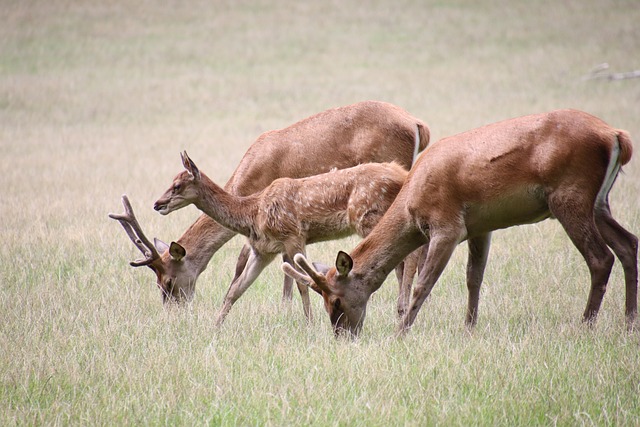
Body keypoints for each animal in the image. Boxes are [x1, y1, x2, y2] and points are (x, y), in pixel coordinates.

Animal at [109, 102, 430, 306]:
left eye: (168, 281)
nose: (173, 309)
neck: (246, 184)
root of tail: (419, 125)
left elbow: (247, 260)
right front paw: (285, 306)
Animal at [152, 150, 424, 324]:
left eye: (177, 186)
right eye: (171, 181)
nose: (157, 204)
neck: (252, 214)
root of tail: (402, 175)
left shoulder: (293, 235)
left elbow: (302, 284)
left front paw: (311, 324)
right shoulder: (263, 250)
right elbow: (236, 289)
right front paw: (216, 326)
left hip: (370, 215)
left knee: (409, 257)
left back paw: (402, 310)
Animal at [286, 109, 640, 338]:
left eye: (335, 299)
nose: (341, 335)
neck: (411, 206)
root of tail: (616, 136)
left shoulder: (447, 224)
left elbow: (423, 282)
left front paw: (400, 334)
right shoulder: (480, 226)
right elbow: (474, 277)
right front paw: (469, 328)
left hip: (571, 195)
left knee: (601, 257)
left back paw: (586, 326)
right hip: (598, 202)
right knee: (628, 244)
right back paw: (628, 323)